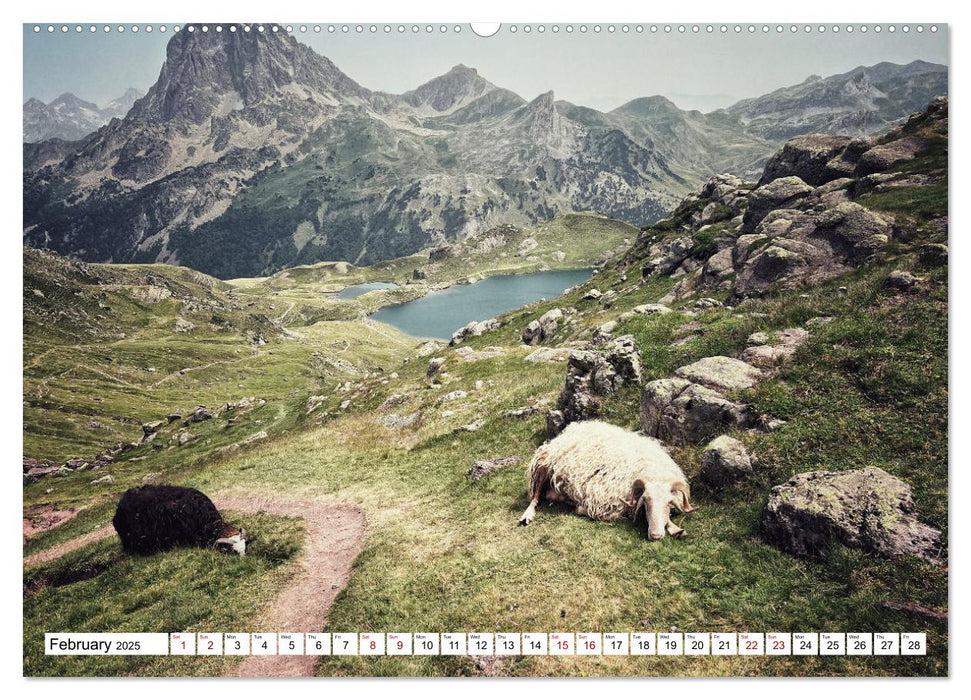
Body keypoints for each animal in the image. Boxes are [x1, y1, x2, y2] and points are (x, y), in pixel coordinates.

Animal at [516, 418, 700, 540]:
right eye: (646, 502)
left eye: (669, 503)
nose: (655, 536)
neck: (651, 469)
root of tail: (569, 430)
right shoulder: (601, 501)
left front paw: (675, 529)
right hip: (543, 464)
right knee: (535, 496)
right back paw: (527, 516)